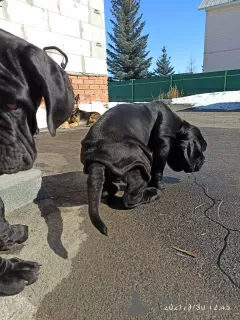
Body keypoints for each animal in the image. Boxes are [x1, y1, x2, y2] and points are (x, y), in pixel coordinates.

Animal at [81, 101, 208, 236]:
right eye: (202, 148)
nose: (204, 159)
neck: (179, 129)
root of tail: (96, 157)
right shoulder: (163, 145)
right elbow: (158, 169)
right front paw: (159, 185)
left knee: (106, 186)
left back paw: (113, 188)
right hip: (141, 160)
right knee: (129, 198)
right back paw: (152, 193)